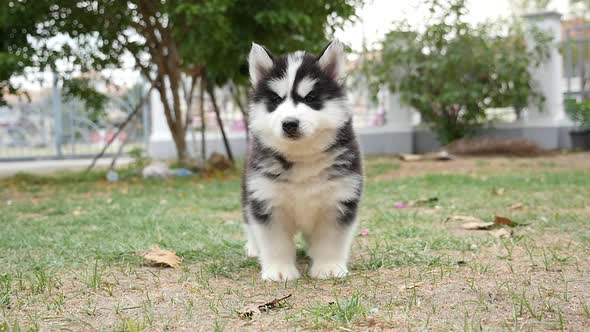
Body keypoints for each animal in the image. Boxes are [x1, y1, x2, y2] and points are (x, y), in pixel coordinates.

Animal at [242, 40, 364, 280]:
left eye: (310, 98)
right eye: (276, 100)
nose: (289, 123)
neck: (302, 156)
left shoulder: (339, 200)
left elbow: (331, 240)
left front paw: (328, 266)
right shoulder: (266, 200)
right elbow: (275, 242)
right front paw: (279, 270)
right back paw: (253, 248)